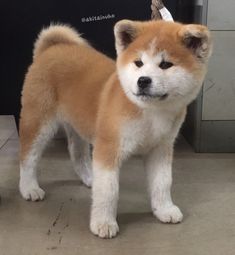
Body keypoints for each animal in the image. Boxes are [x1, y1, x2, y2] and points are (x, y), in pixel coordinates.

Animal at [19, 20, 212, 239]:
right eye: (138, 63)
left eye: (165, 64)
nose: (143, 80)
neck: (150, 112)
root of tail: (50, 49)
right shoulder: (108, 148)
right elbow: (108, 191)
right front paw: (103, 222)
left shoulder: (160, 149)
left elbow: (162, 182)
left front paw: (164, 209)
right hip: (37, 123)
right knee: (28, 158)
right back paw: (29, 188)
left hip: (78, 125)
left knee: (77, 155)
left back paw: (90, 178)